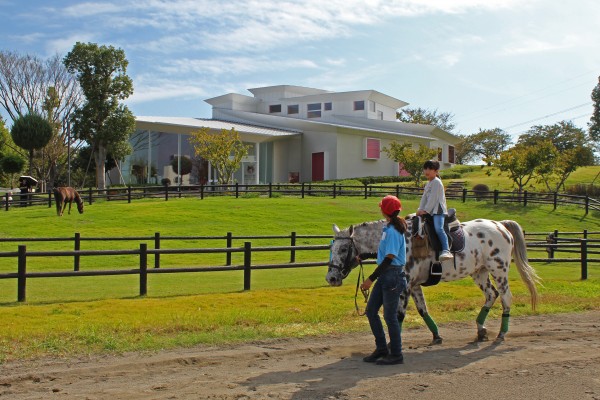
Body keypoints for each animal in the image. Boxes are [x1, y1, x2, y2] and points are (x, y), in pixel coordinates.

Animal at [326, 217, 540, 342]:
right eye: (331, 248)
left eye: (343, 249)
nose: (331, 278)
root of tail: (500, 225)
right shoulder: (413, 286)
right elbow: (423, 310)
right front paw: (436, 335)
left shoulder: (405, 287)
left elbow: (398, 316)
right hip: (479, 272)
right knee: (491, 295)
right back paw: (480, 329)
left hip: (499, 270)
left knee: (505, 297)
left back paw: (502, 333)